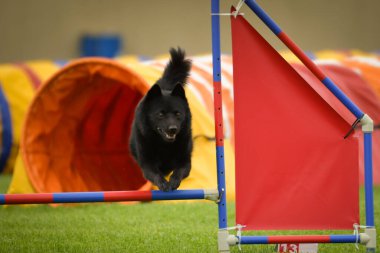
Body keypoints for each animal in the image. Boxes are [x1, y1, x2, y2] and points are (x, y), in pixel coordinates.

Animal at [130, 47, 193, 192]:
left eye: (178, 114)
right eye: (160, 114)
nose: (173, 129)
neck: (164, 144)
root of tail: (165, 88)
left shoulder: (185, 161)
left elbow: (179, 170)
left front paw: (173, 181)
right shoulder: (147, 164)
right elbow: (155, 173)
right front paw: (163, 183)